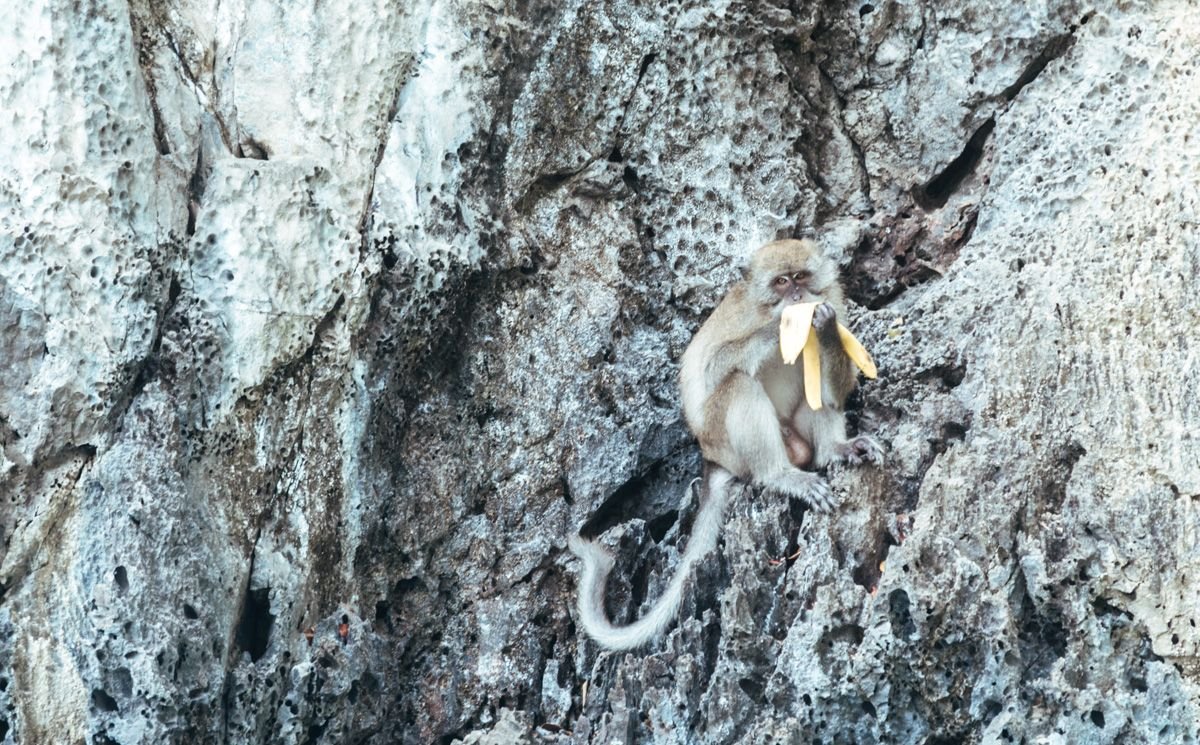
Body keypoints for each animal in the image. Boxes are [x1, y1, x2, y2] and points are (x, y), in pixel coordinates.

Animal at [571, 235, 883, 647]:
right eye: (781, 282)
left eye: (801, 276)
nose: (797, 295)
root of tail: (712, 457)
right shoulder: (742, 318)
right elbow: (713, 367)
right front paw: (777, 327)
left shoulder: (834, 298)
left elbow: (836, 392)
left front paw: (826, 328)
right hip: (724, 441)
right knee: (737, 384)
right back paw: (779, 475)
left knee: (816, 395)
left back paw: (836, 450)